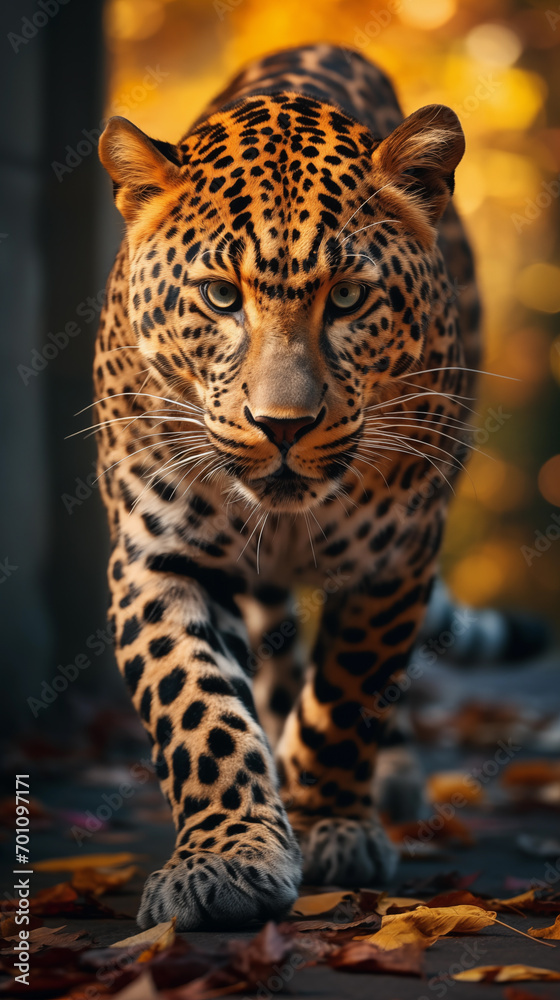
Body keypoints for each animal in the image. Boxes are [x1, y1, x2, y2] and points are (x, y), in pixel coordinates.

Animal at [93, 43, 483, 930]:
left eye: (349, 298)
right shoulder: (160, 557)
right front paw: (228, 857)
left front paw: (326, 819)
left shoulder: (398, 557)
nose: (282, 425)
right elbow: (198, 709)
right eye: (219, 296)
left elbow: (349, 693)